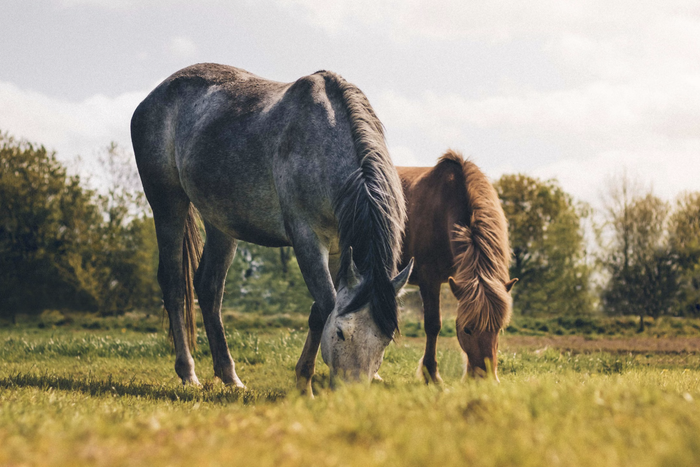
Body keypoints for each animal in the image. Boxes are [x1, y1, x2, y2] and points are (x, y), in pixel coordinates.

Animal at [130, 63, 412, 394]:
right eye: (341, 333)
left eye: (385, 340)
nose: (351, 394)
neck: (325, 141)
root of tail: (153, 96)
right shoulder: (307, 239)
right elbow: (326, 305)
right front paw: (304, 384)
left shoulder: (339, 249)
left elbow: (319, 311)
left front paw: (302, 379)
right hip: (167, 205)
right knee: (175, 285)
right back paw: (188, 373)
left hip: (220, 223)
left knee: (209, 288)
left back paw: (229, 376)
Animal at [397, 150, 517, 383]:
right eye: (467, 329)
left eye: (498, 329)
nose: (485, 379)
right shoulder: (429, 279)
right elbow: (433, 325)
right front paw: (432, 375)